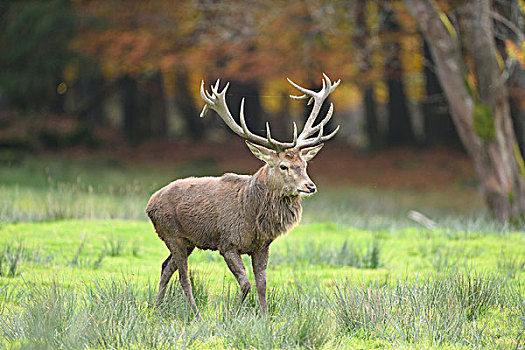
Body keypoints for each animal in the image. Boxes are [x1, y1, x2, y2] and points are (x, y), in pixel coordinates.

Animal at [145, 73, 340, 318]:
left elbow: (262, 284)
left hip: (188, 241)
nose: (310, 186)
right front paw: (233, 313)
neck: (252, 217)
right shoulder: (227, 243)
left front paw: (264, 317)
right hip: (172, 234)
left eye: (304, 164)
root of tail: (149, 204)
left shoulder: (262, 247)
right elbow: (246, 284)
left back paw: (155, 308)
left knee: (165, 267)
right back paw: (195, 313)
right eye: (283, 166)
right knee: (184, 277)